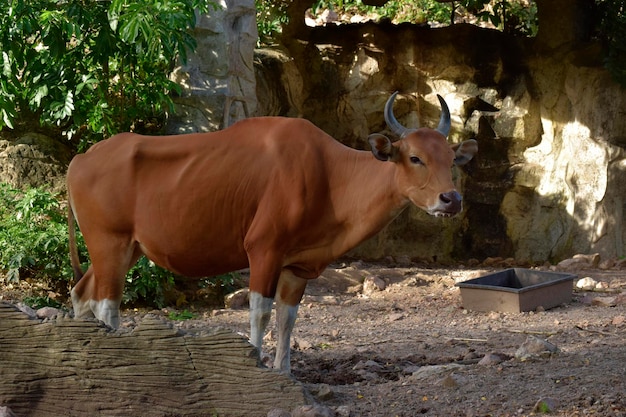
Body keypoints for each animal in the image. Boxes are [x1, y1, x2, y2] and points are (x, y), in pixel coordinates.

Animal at [68, 92, 476, 370]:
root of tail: (82, 158)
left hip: (125, 247)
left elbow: (287, 317)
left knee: (82, 293)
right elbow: (260, 312)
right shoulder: (263, 249)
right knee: (107, 305)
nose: (451, 199)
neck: (330, 175)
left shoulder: (298, 265)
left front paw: (284, 371)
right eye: (415, 157)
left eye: (451, 159)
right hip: (109, 242)